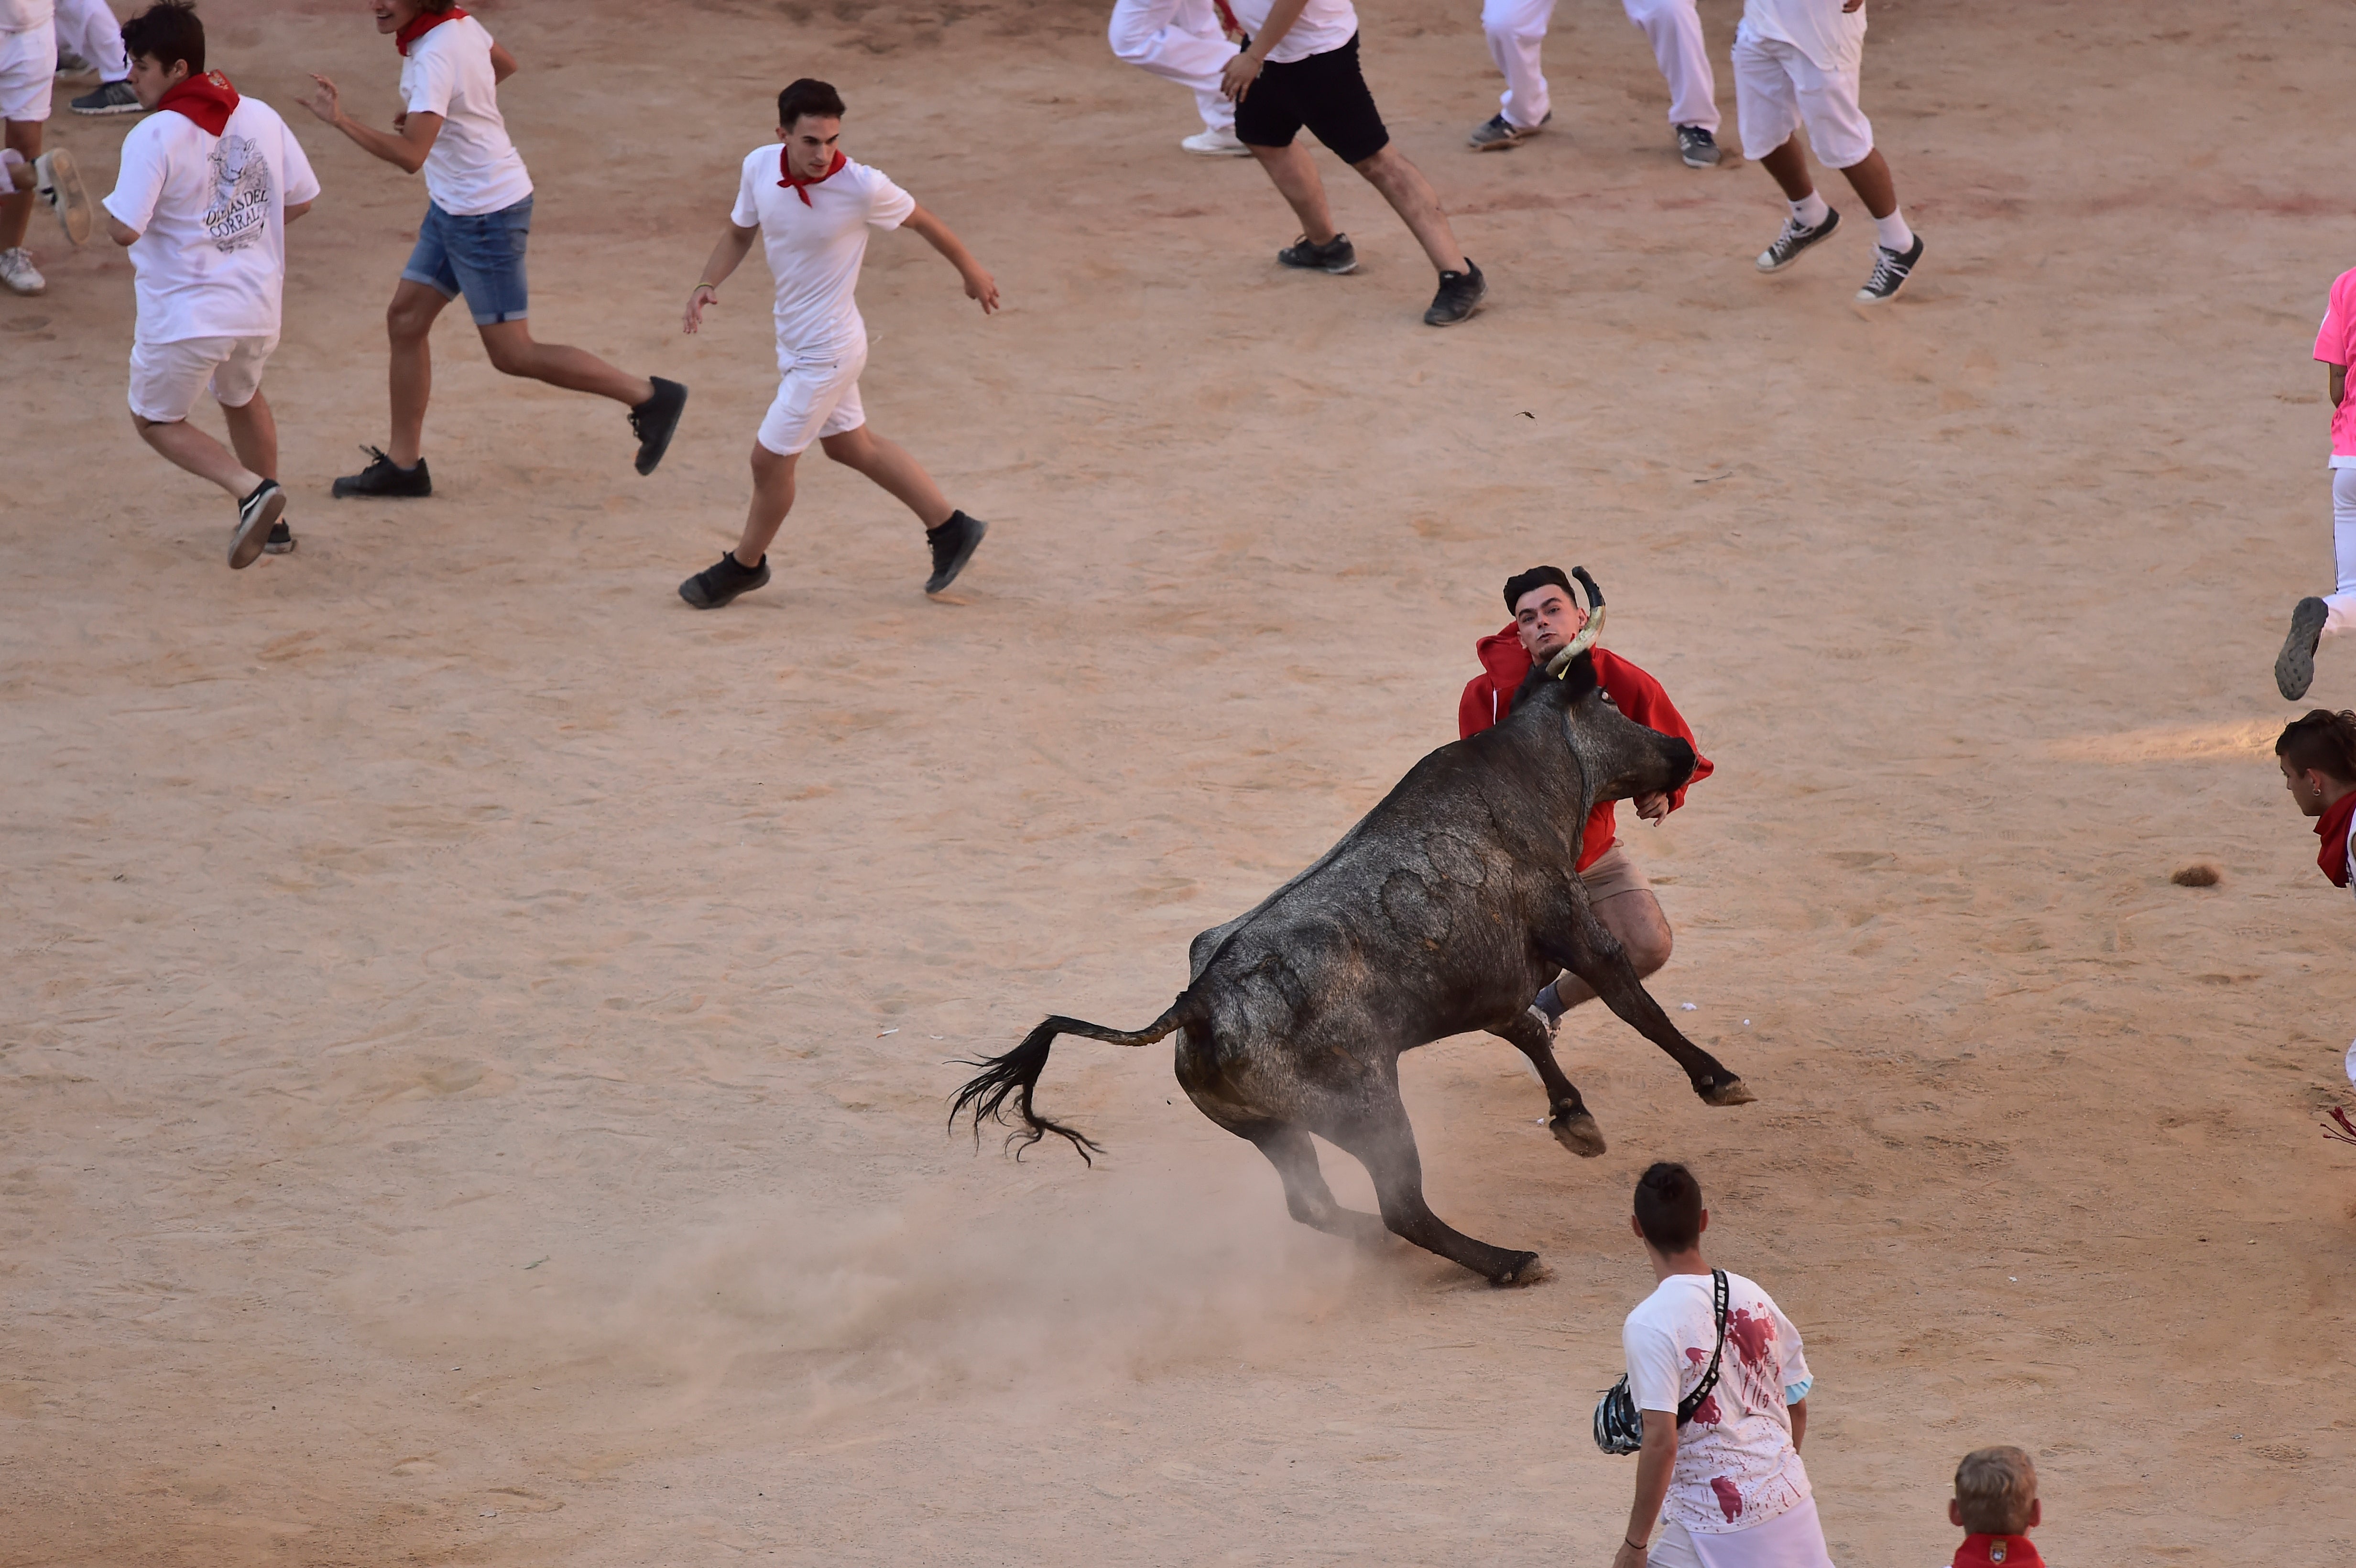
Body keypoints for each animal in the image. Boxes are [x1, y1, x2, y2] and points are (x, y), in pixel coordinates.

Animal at [951, 570, 1754, 1284]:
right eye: (1612, 699)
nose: (1685, 754)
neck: (1524, 771)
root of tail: (1197, 1002)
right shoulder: (1575, 928)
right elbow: (1632, 1001)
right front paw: (1719, 1080)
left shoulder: (1492, 984)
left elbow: (1529, 1030)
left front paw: (1575, 1120)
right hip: (1371, 1109)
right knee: (1403, 1204)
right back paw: (1507, 1261)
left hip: (1271, 1129)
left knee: (1312, 1203)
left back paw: (1378, 1243)